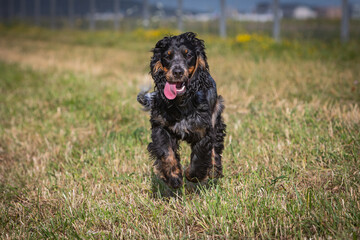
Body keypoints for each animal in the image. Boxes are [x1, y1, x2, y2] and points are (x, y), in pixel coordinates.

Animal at [137, 32, 225, 189]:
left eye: (188, 54)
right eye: (167, 56)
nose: (177, 72)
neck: (181, 102)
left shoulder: (203, 130)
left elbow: (200, 156)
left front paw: (193, 175)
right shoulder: (160, 126)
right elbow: (166, 153)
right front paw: (173, 177)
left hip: (217, 114)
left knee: (216, 147)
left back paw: (215, 170)